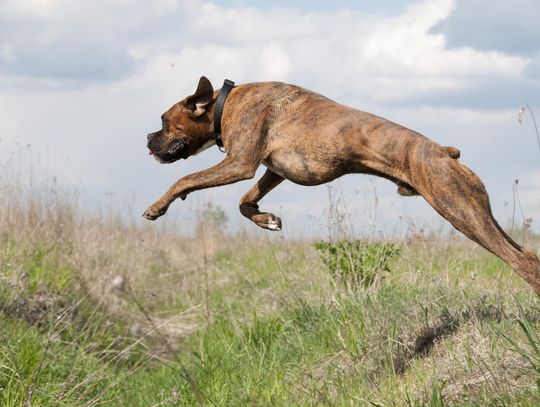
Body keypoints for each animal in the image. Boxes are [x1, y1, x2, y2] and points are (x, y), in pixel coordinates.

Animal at [143, 76, 540, 294]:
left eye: (163, 121)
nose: (147, 138)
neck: (224, 104)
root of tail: (444, 152)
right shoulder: (273, 171)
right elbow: (244, 201)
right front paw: (267, 219)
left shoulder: (239, 164)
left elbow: (185, 178)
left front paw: (158, 206)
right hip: (477, 212)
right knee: (526, 253)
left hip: (460, 212)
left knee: (522, 261)